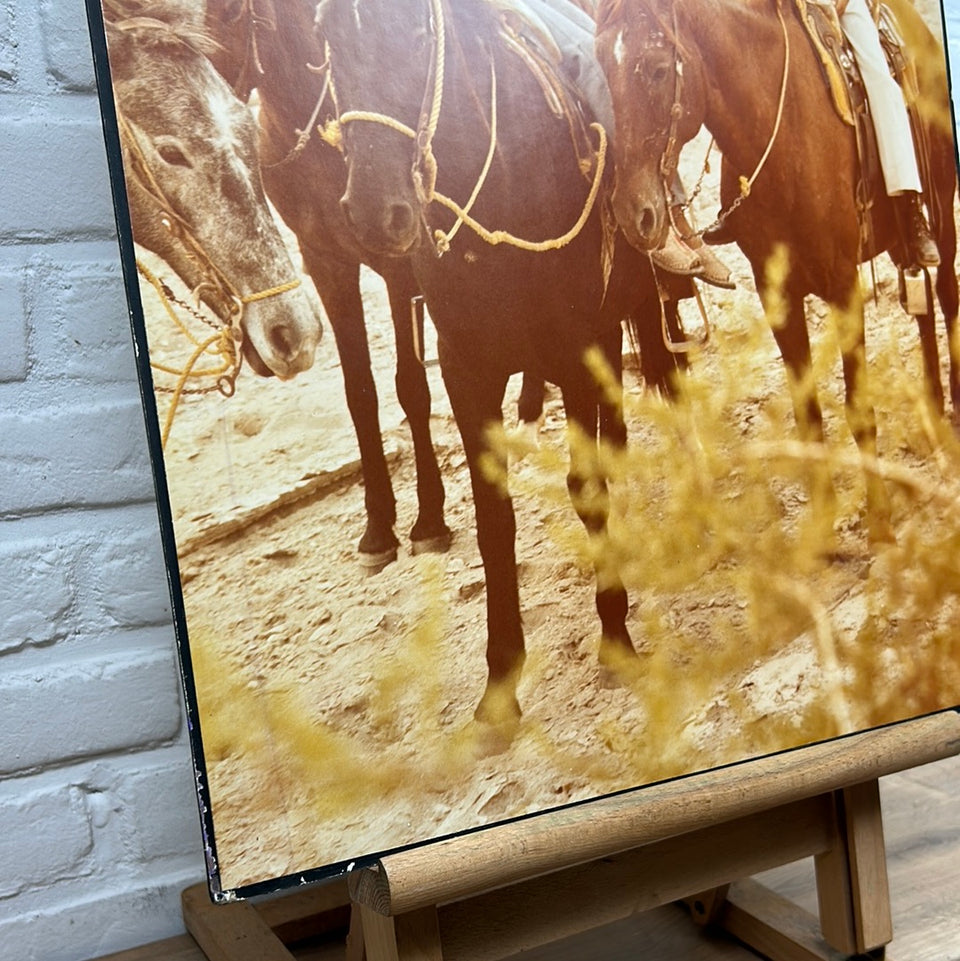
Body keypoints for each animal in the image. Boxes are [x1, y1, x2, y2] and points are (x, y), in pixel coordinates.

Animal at [198, 0, 458, 568]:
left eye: (228, 12)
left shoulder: (400, 266)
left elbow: (411, 386)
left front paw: (429, 519)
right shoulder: (327, 265)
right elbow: (359, 393)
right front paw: (379, 527)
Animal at [318, 0, 688, 728]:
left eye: (412, 29)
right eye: (326, 38)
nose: (375, 212)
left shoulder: (573, 352)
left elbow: (585, 488)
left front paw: (615, 634)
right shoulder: (468, 375)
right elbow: (495, 519)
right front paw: (500, 681)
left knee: (662, 374)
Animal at [596, 0, 956, 540]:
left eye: (657, 69)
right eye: (601, 68)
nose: (632, 214)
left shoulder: (843, 287)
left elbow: (858, 407)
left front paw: (879, 523)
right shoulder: (776, 293)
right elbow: (807, 414)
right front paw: (823, 528)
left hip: (944, 208)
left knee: (948, 294)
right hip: (896, 241)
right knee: (923, 303)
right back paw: (932, 409)